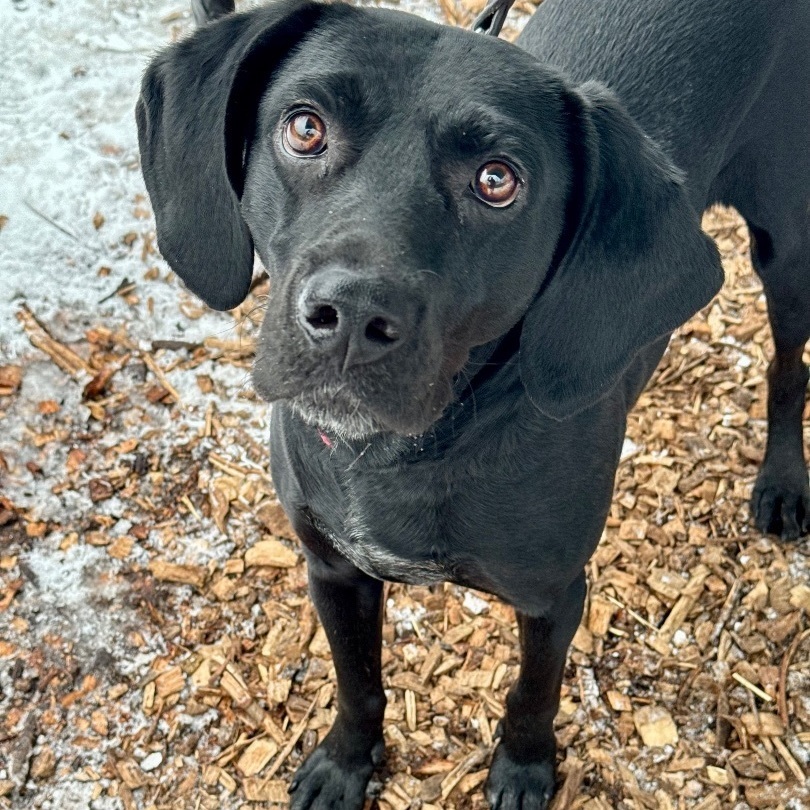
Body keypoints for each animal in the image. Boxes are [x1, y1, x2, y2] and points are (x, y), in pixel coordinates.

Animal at [136, 0, 804, 804]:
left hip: (788, 244)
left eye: (497, 180)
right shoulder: (333, 569)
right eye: (305, 128)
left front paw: (524, 768)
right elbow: (357, 681)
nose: (353, 317)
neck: (402, 453)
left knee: (788, 365)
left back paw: (784, 481)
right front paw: (347, 763)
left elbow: (533, 693)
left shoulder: (553, 595)